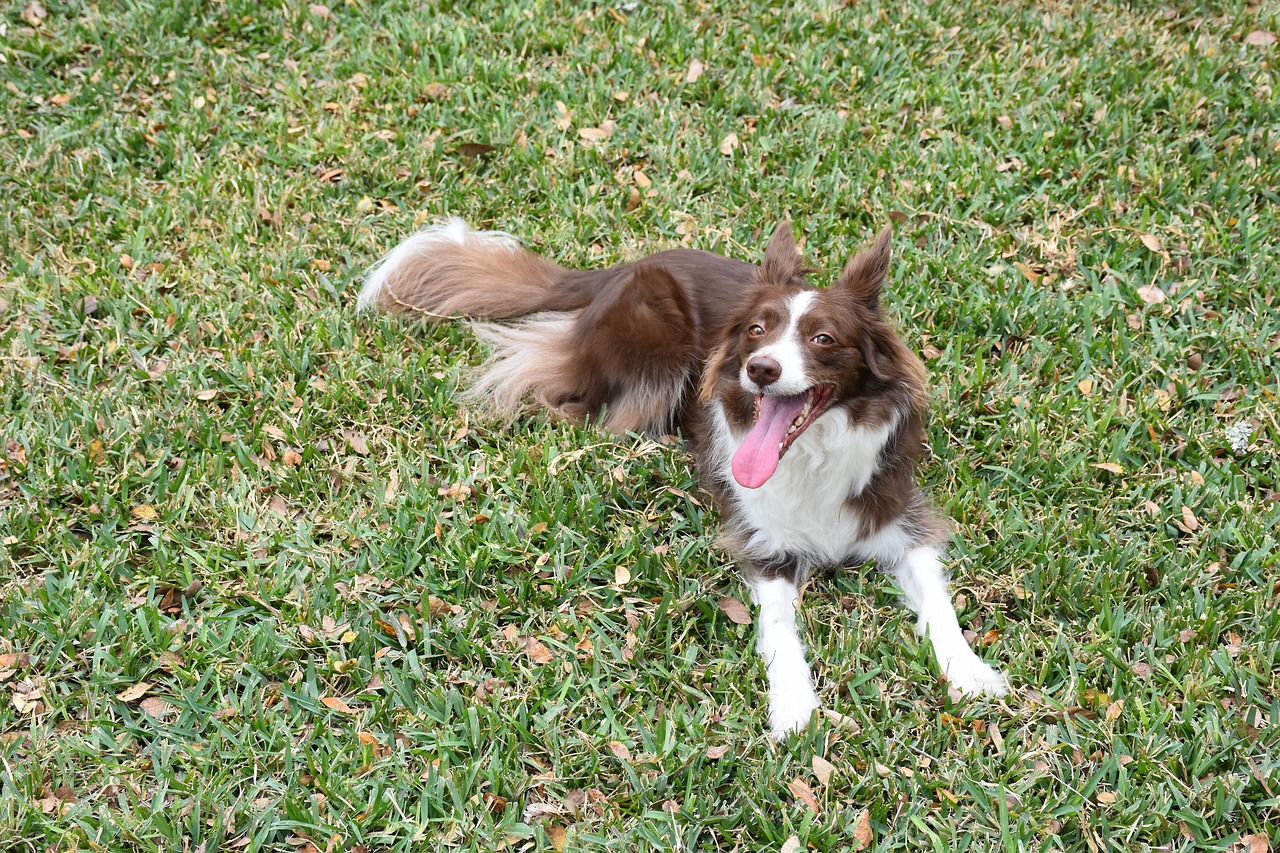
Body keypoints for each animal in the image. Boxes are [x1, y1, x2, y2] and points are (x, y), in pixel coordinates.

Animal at [358, 219, 1008, 737]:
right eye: (757, 330)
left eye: (823, 338)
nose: (760, 368)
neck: (813, 452)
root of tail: (616, 269)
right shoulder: (763, 546)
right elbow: (781, 629)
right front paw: (795, 706)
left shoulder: (900, 517)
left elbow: (939, 602)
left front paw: (969, 672)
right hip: (653, 335)